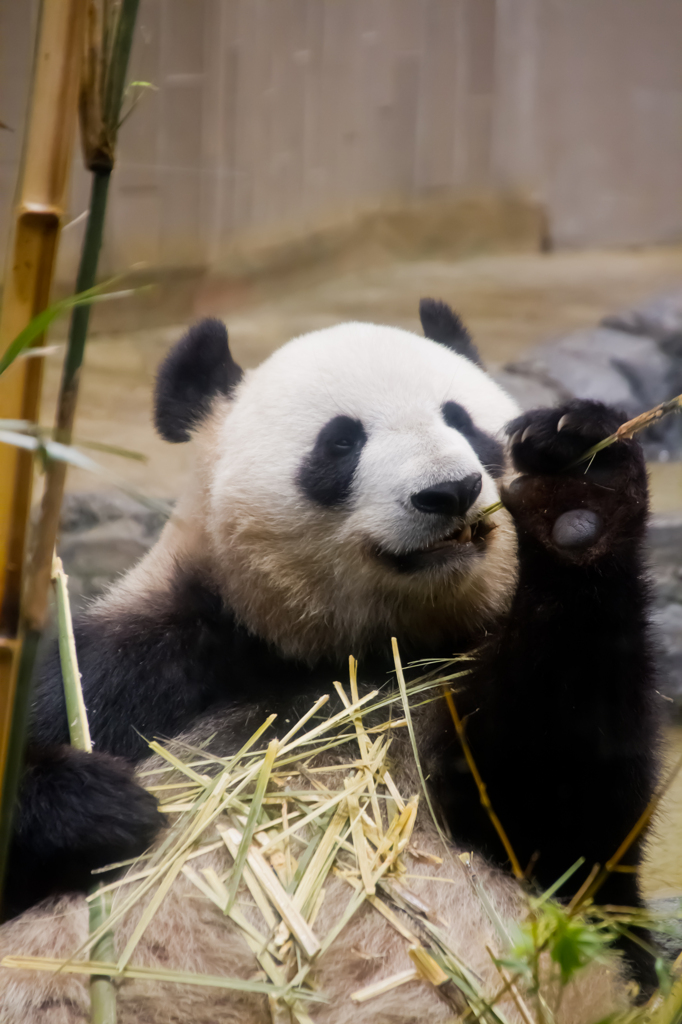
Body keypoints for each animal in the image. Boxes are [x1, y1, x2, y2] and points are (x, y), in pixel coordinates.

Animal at [0, 299, 659, 1019]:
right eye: (341, 443)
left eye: (462, 420)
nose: (451, 491)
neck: (356, 653)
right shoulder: (139, 666)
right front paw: (102, 806)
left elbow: (567, 811)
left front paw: (579, 492)